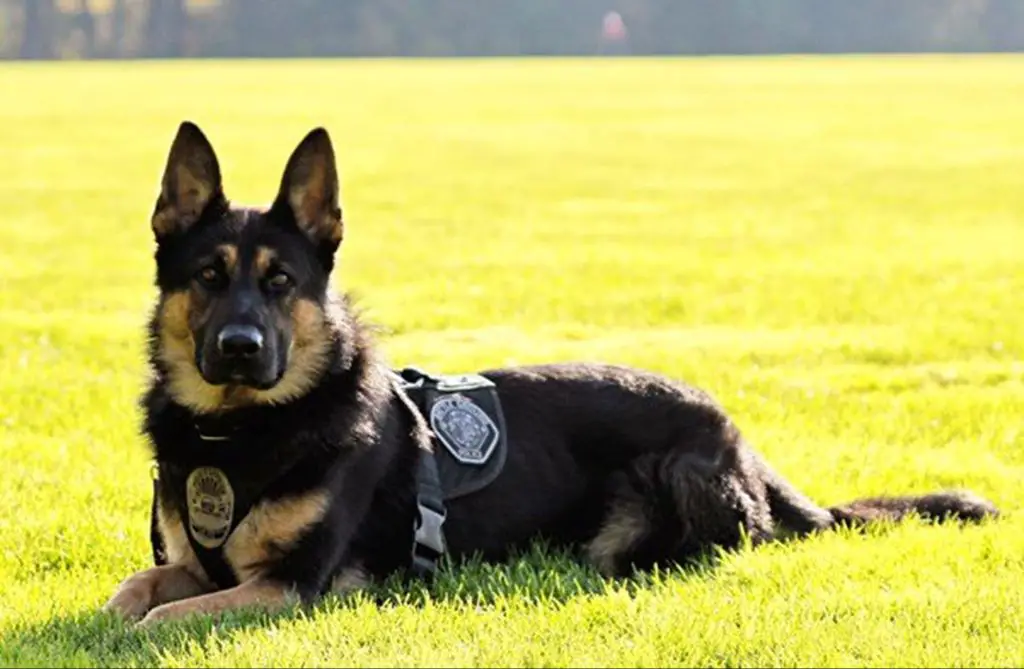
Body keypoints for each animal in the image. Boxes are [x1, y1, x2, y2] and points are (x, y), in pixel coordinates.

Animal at [103, 123, 999, 626]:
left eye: (281, 280)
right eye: (209, 277)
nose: (240, 346)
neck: (237, 430)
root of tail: (740, 440)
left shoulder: (294, 584)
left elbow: (176, 614)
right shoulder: (196, 561)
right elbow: (140, 585)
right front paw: (120, 609)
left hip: (661, 497)